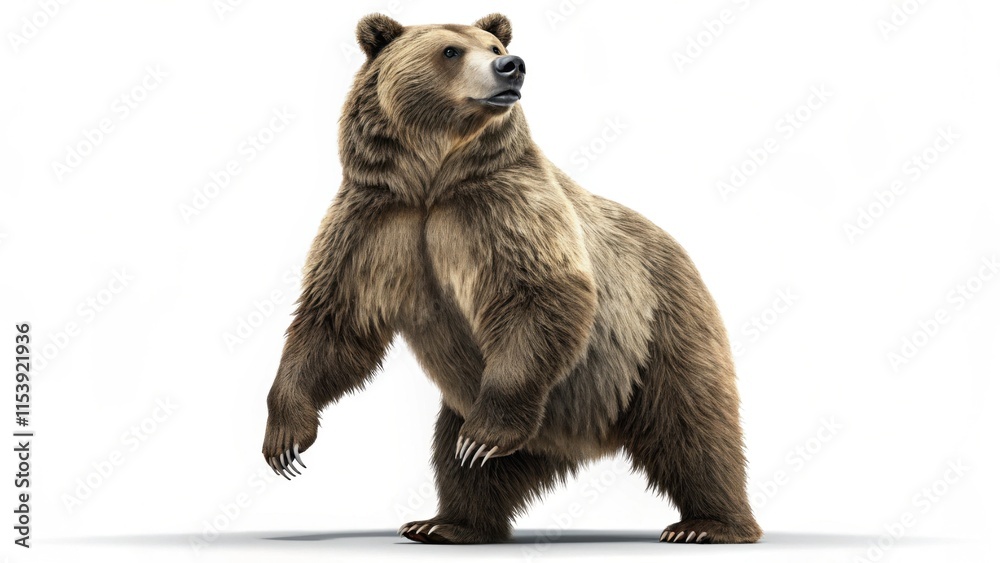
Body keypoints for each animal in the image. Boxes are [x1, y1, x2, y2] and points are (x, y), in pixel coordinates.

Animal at [262, 13, 762, 545]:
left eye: (495, 45)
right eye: (450, 50)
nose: (512, 65)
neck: (432, 179)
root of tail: (577, 442)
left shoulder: (503, 207)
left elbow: (539, 294)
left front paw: (486, 435)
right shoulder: (373, 220)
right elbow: (334, 322)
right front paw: (285, 440)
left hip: (658, 334)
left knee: (694, 426)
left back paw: (708, 524)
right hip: (476, 401)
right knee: (460, 461)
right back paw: (445, 522)